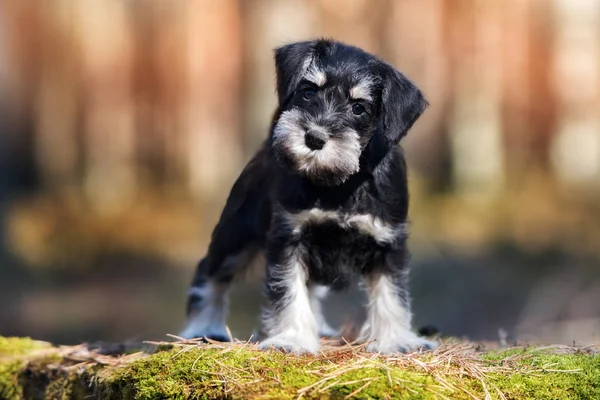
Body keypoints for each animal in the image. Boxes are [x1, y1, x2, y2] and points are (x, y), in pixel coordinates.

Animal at [178, 38, 436, 354]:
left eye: (359, 107)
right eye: (309, 91)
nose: (314, 137)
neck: (339, 184)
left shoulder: (388, 241)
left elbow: (392, 294)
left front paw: (397, 340)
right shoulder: (289, 237)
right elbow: (290, 290)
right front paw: (292, 339)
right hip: (236, 233)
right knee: (211, 272)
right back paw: (202, 328)